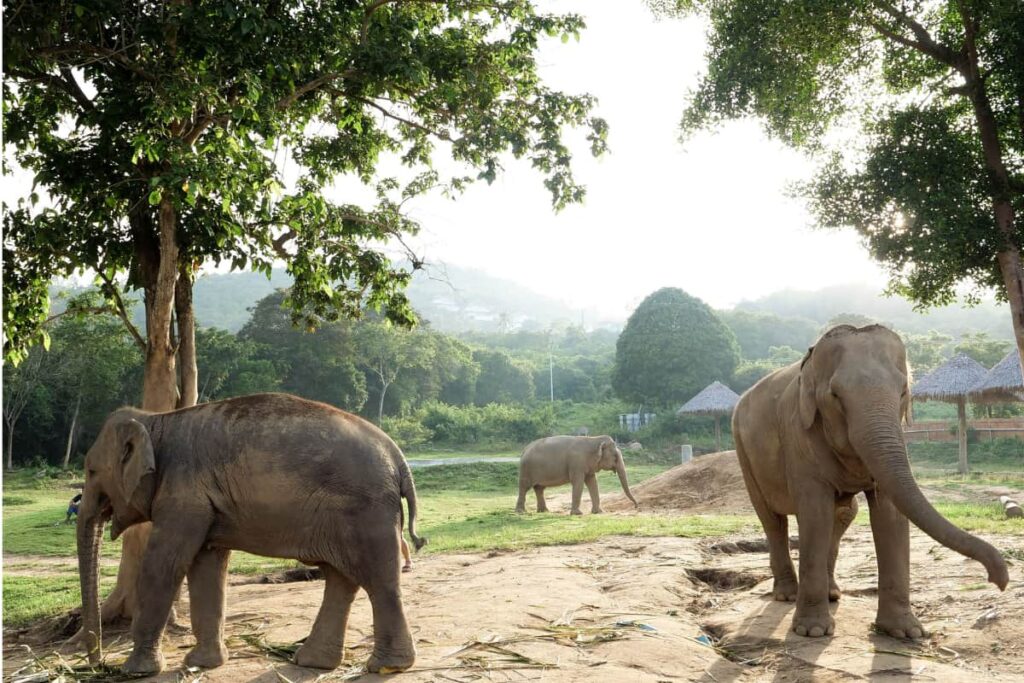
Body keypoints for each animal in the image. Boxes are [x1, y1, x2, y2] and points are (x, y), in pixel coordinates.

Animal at [75, 393, 426, 675]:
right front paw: (202, 664)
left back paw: (387, 667)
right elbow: (207, 566)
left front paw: (135, 671)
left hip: (365, 511)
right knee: (341, 580)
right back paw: (313, 662)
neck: (155, 421)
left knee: (378, 582)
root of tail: (399, 459)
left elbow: (164, 565)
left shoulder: (183, 496)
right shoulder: (201, 502)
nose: (96, 664)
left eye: (91, 471)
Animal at [733, 325, 1008, 639]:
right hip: (742, 450)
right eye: (835, 395)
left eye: (903, 392)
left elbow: (891, 513)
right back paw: (788, 595)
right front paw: (812, 631)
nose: (999, 581)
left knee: (843, 514)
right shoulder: (798, 434)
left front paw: (906, 632)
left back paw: (832, 594)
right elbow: (814, 512)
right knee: (772, 519)